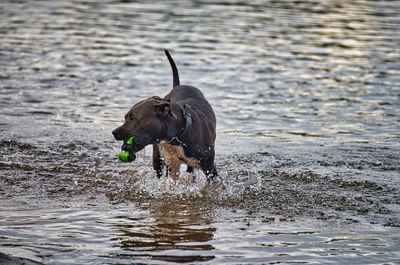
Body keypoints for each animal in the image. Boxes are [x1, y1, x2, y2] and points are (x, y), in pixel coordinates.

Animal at [112, 49, 219, 179]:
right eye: (126, 117)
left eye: (133, 119)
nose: (114, 132)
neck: (177, 136)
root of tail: (178, 86)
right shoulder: (172, 165)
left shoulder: (210, 169)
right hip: (158, 157)